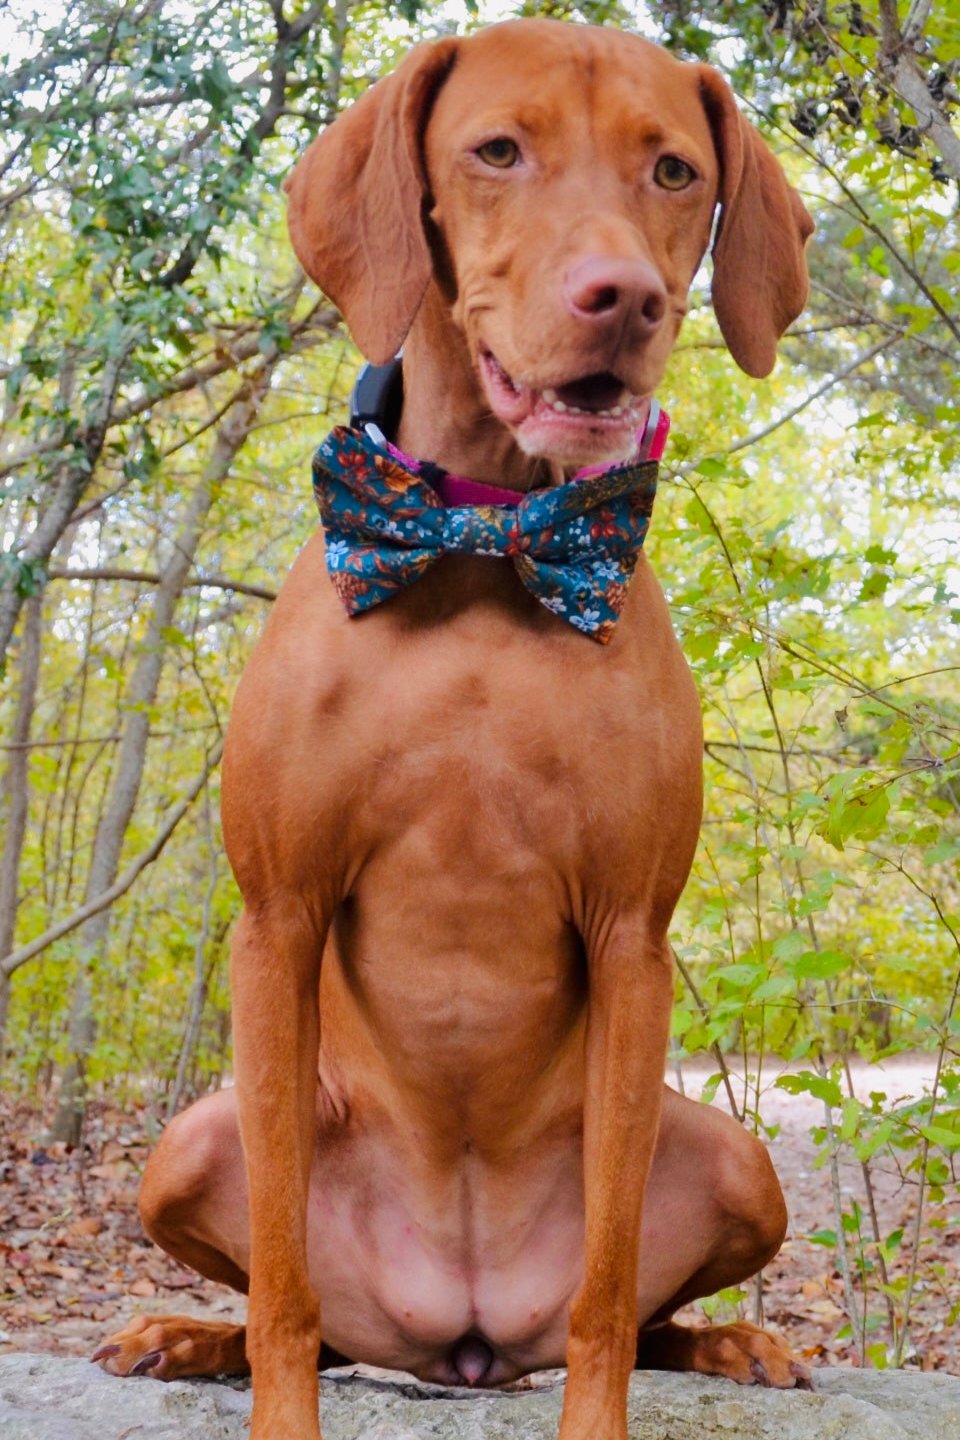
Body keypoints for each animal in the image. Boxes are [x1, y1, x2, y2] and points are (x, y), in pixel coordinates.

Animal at [93, 19, 817, 1440]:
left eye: (674, 170)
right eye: (496, 151)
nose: (624, 299)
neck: (486, 536)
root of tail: (464, 1341)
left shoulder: (633, 937)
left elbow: (606, 1306)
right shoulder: (278, 918)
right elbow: (283, 1294)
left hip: (730, 1154)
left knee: (647, 1317)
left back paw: (737, 1341)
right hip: (188, 1142)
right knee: (304, 1314)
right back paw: (182, 1334)